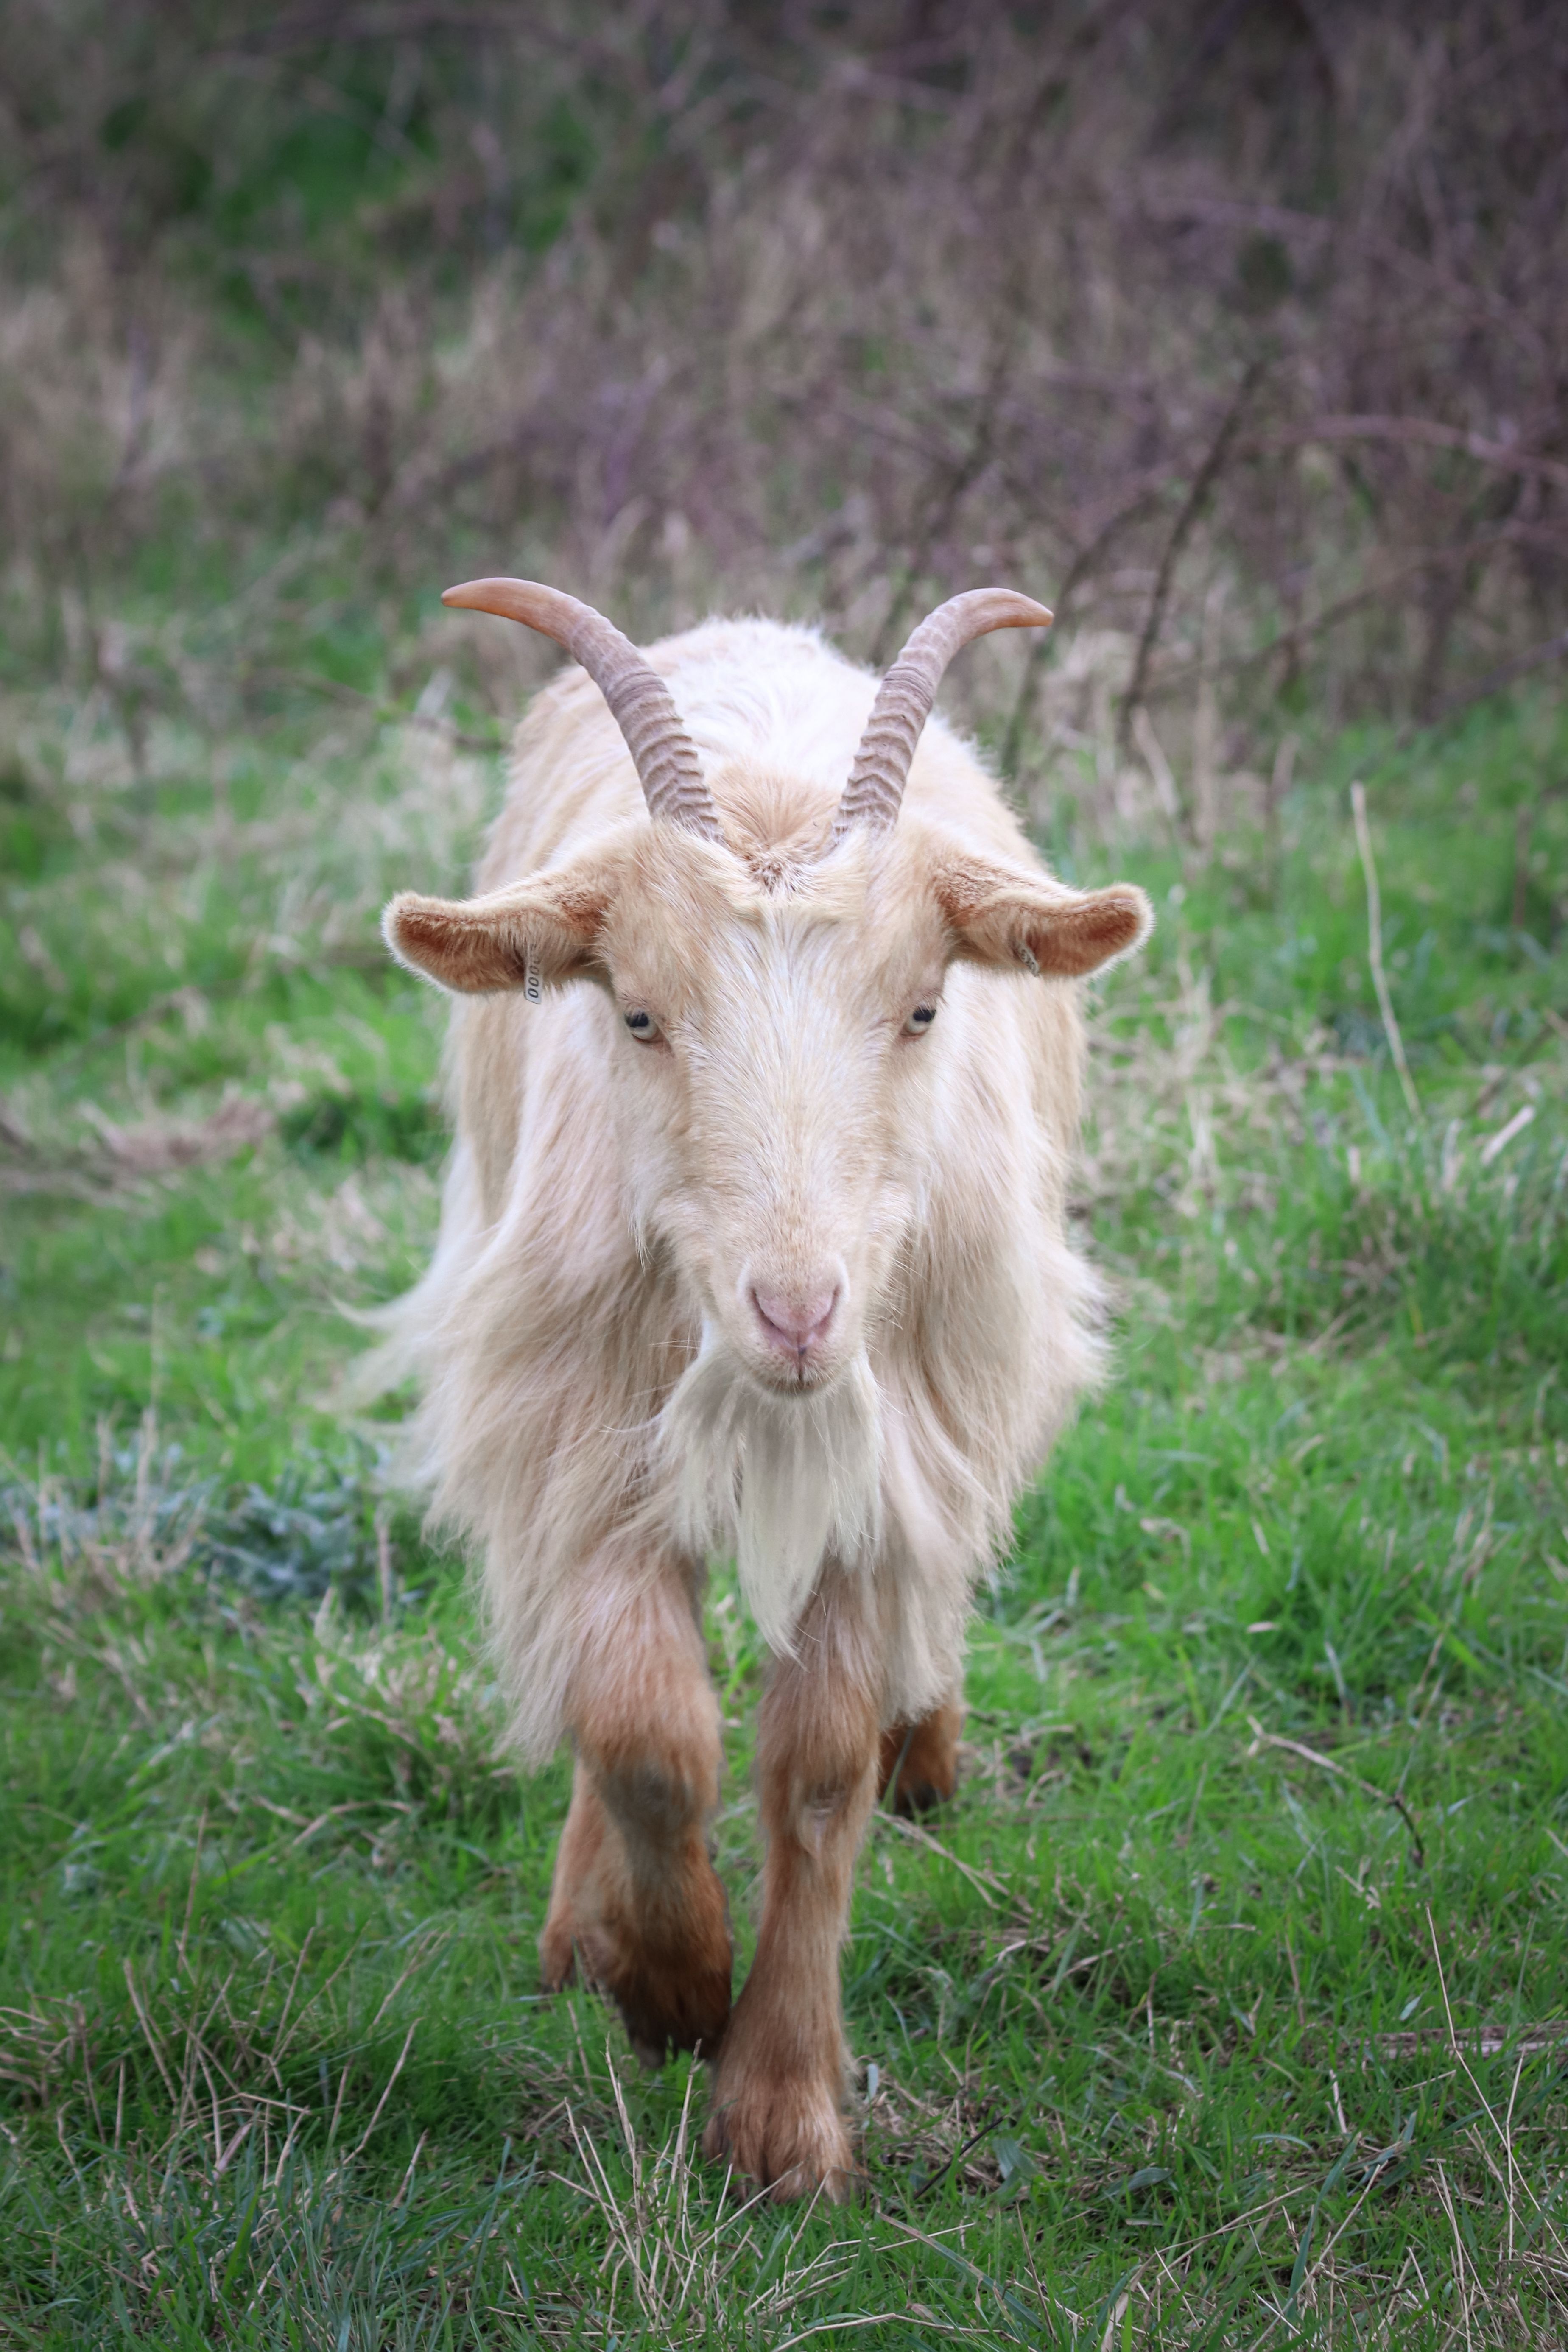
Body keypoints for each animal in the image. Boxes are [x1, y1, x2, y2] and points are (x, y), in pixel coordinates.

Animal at [376, 579, 1152, 2199]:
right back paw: (577, 1929)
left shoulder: (895, 1449)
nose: (795, 1313)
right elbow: (642, 1726)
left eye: (921, 1007)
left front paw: (783, 2114)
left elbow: (815, 1767)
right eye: (634, 1013)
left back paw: (928, 1743)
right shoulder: (574, 1418)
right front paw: (665, 1982)